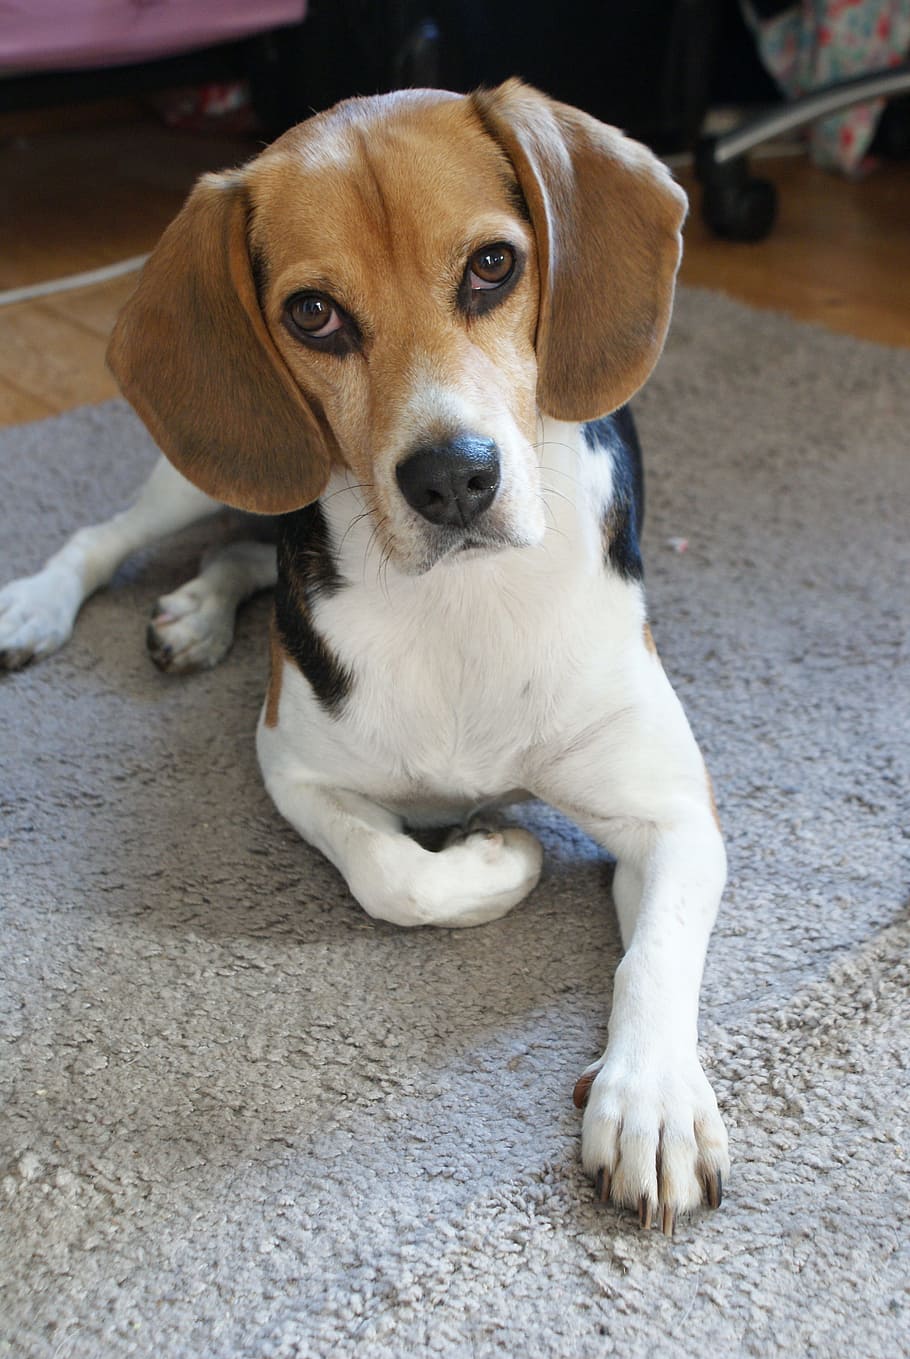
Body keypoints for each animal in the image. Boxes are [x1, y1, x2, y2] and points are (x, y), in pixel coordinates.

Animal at [0, 82, 728, 1233]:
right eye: (313, 313)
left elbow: (654, 957)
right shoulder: (293, 767)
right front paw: (495, 857)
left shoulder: (673, 813)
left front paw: (653, 1100)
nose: (453, 478)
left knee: (241, 551)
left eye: (493, 264)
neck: (463, 603)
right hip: (197, 475)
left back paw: (198, 612)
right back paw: (46, 604)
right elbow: (394, 876)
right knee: (119, 536)